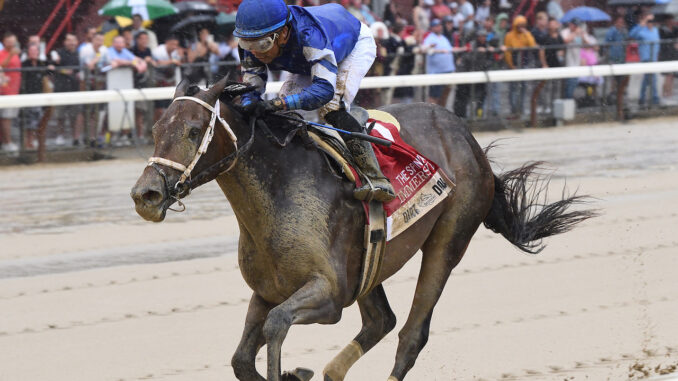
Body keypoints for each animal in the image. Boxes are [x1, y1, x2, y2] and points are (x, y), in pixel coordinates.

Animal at [131, 75, 596, 378]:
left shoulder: (329, 293)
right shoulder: (268, 290)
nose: (146, 194)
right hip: (371, 262)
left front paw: (292, 372)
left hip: (449, 238)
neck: (280, 191)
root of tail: (467, 137)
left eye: (194, 131)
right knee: (381, 321)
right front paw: (296, 372)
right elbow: (243, 358)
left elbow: (277, 325)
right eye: (155, 129)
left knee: (410, 335)